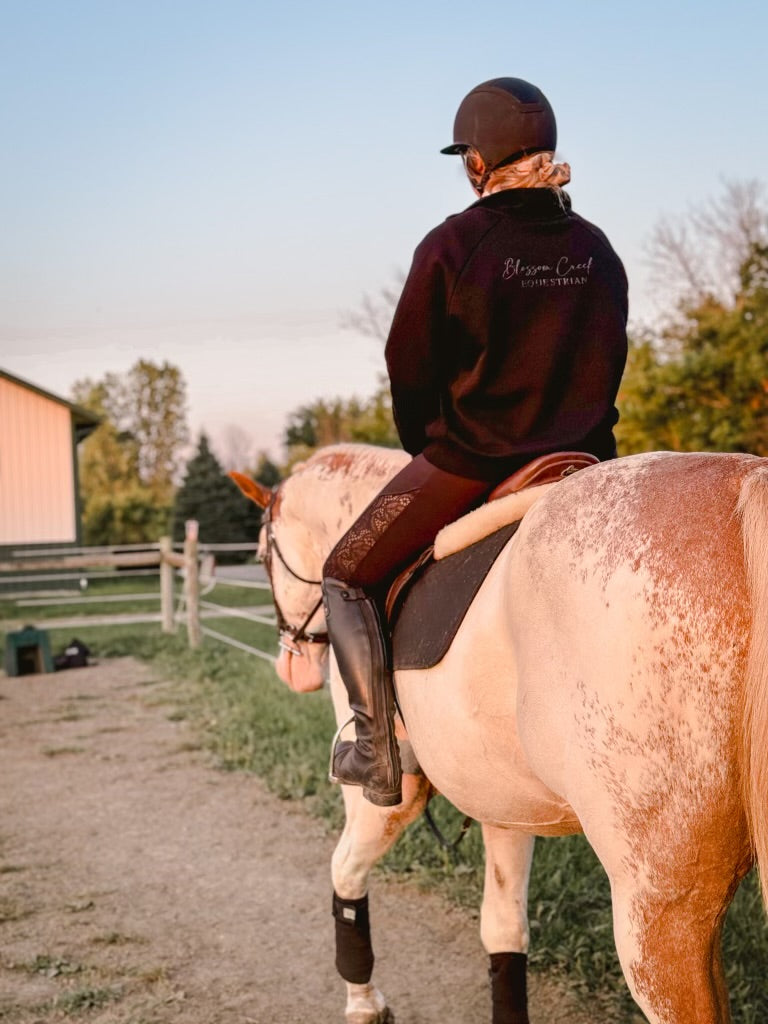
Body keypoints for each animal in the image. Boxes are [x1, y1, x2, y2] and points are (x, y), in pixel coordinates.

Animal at [231, 442, 768, 1024]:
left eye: (261, 555)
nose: (294, 667)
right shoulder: (505, 807)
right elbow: (505, 933)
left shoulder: (388, 796)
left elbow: (345, 873)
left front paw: (363, 1003)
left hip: (662, 914)